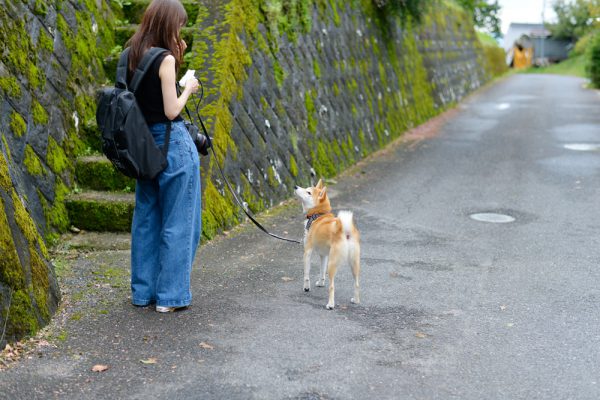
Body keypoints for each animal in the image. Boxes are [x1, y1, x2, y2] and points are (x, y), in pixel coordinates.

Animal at [292, 180, 358, 310]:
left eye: (308, 192)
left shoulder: (307, 251)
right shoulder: (323, 255)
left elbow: (306, 274)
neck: (318, 214)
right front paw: (321, 283)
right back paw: (356, 300)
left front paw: (306, 288)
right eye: (306, 188)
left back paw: (330, 304)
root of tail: (345, 231)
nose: (295, 186)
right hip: (354, 264)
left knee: (332, 286)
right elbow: (322, 272)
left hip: (332, 264)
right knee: (357, 283)